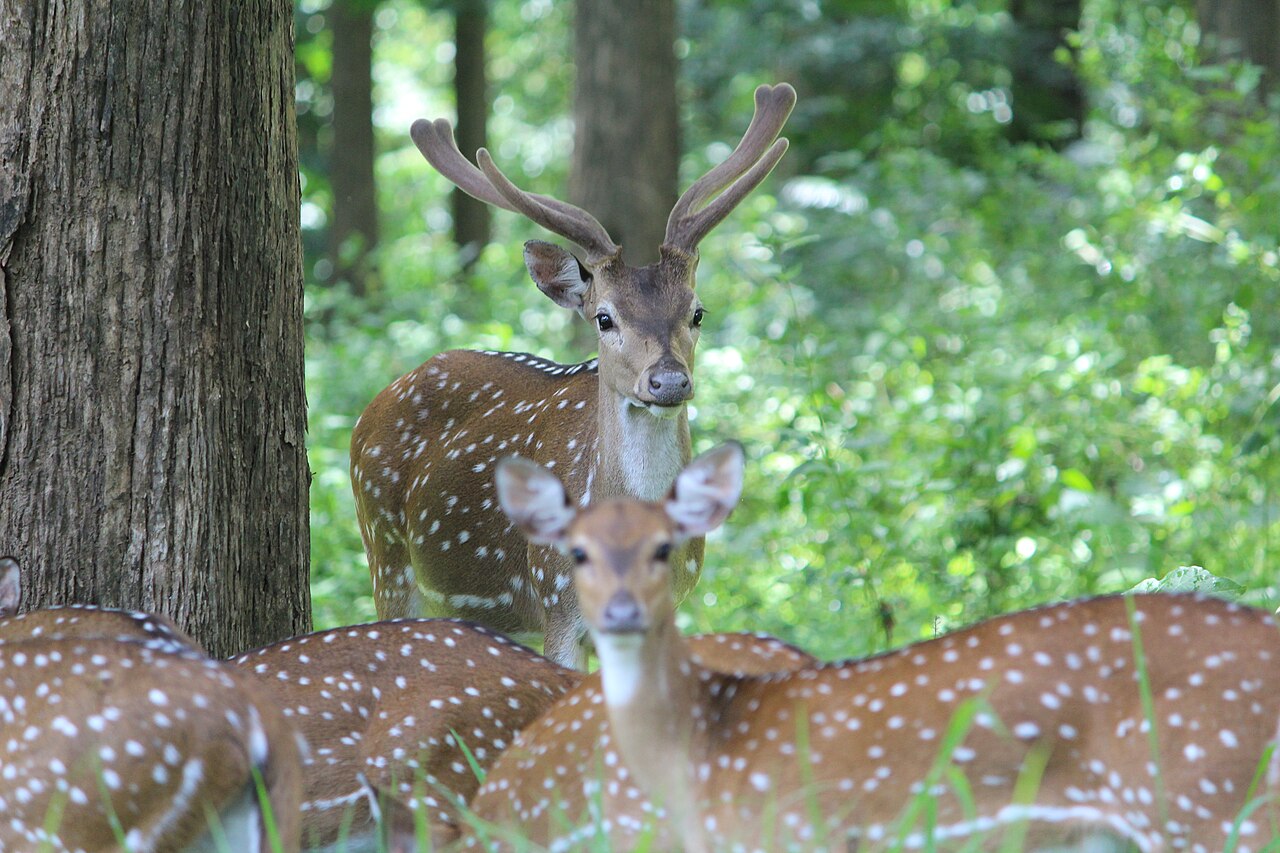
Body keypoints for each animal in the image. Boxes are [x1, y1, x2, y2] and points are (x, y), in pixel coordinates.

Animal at [345, 81, 793, 666]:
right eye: (604, 317)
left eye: (698, 312)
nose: (669, 382)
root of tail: (375, 403)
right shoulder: (557, 603)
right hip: (386, 555)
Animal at [478, 445, 1280, 850]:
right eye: (577, 552)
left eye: (663, 546)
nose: (621, 613)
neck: (705, 746)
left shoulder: (792, 835)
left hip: (1211, 802)